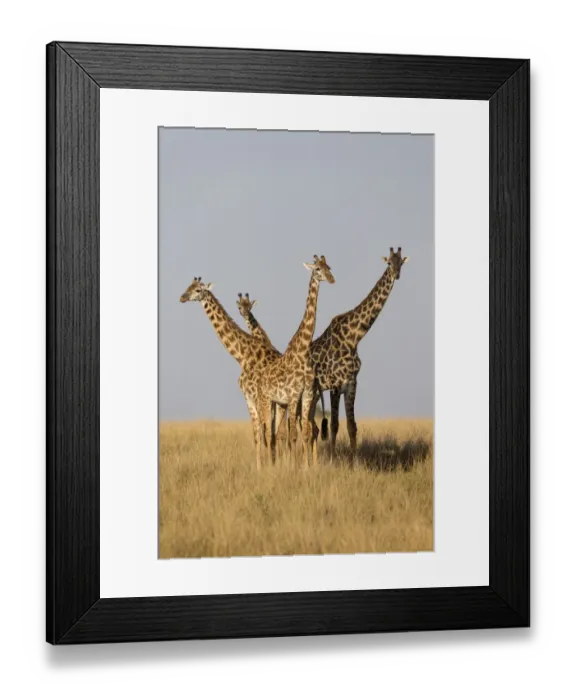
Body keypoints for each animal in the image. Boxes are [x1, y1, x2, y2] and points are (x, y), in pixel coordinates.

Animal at [179, 277, 280, 469]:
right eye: (188, 287)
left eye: (198, 290)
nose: (182, 297)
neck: (242, 356)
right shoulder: (249, 398)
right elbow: (257, 435)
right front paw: (261, 468)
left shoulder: (256, 397)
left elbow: (262, 433)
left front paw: (264, 468)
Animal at [253, 255, 335, 468]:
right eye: (317, 269)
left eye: (329, 267)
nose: (332, 279)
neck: (303, 350)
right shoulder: (292, 396)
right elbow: (293, 435)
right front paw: (293, 467)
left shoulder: (306, 395)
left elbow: (305, 433)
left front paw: (307, 468)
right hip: (266, 400)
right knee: (265, 431)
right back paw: (263, 466)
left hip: (278, 404)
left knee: (274, 432)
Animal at [311, 247, 409, 458]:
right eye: (388, 262)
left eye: (401, 263)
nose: (396, 274)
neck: (354, 337)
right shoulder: (335, 384)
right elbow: (334, 425)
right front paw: (333, 460)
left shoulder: (352, 383)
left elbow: (352, 426)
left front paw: (354, 461)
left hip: (313, 394)